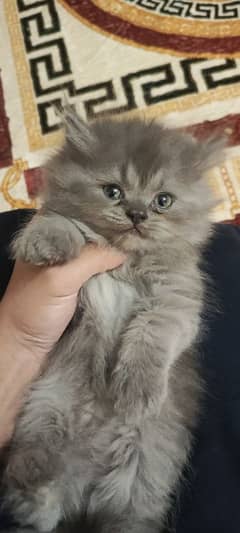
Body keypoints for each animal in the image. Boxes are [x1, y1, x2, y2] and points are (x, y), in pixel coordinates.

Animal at [1, 110, 223, 528]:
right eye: (113, 191)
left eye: (163, 200)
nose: (137, 214)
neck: (126, 264)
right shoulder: (74, 304)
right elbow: (61, 222)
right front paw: (44, 240)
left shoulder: (178, 301)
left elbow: (150, 333)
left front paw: (136, 390)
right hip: (45, 414)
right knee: (36, 485)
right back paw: (28, 491)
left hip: (144, 475)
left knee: (127, 515)